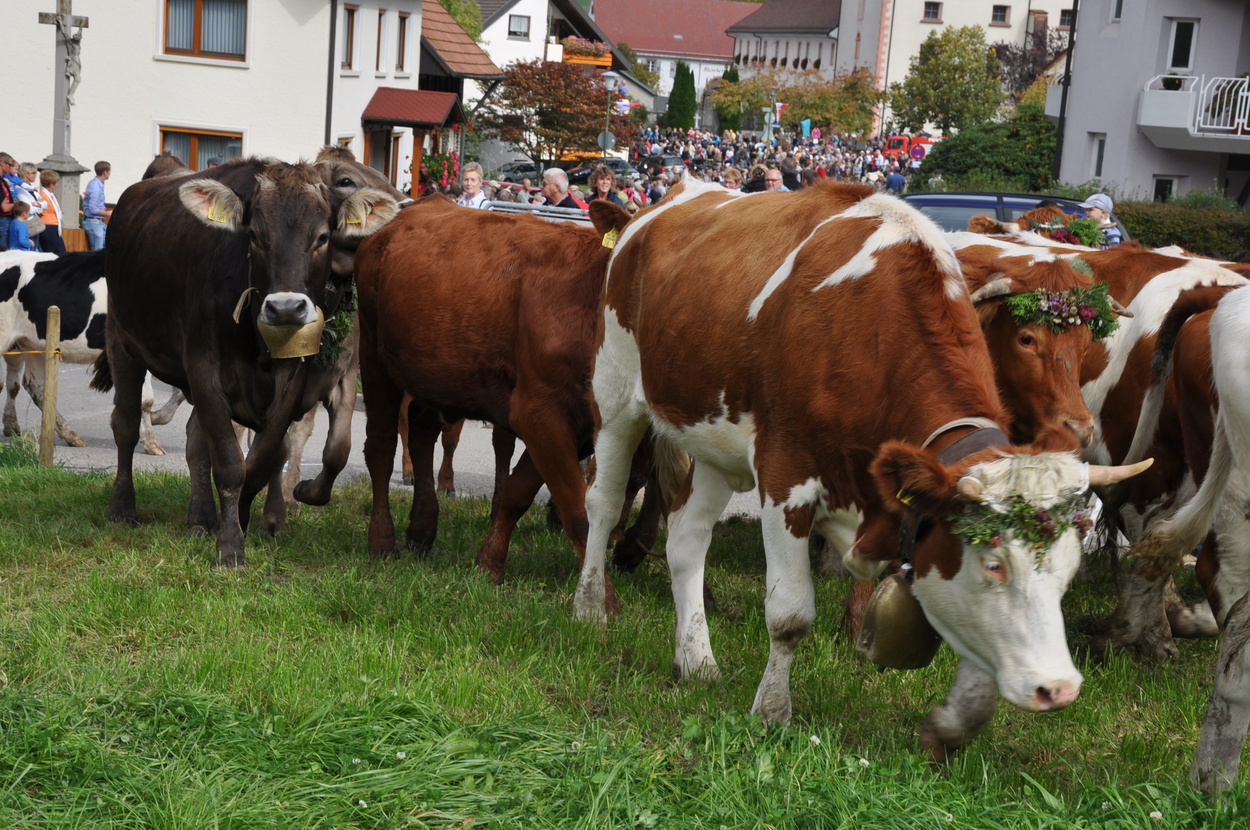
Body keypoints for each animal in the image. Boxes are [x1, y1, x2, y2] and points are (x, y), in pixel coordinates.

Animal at [101, 155, 399, 566]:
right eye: (255, 236)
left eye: (322, 237)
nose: (286, 307)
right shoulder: (204, 371)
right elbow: (230, 463)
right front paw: (230, 547)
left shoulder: (296, 382)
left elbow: (264, 461)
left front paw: (242, 520)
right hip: (122, 341)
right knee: (127, 424)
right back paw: (122, 508)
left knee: (196, 439)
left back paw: (201, 518)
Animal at [356, 195, 637, 610]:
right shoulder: (540, 411)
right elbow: (578, 509)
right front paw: (600, 602)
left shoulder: (573, 424)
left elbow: (518, 494)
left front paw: (488, 565)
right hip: (374, 355)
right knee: (380, 444)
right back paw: (382, 541)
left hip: (438, 375)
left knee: (422, 433)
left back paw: (422, 530)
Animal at [573, 179, 1147, 760]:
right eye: (993, 565)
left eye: (1069, 571)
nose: (1059, 688)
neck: (867, 330)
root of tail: (672, 195)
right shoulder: (785, 476)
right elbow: (789, 614)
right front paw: (772, 712)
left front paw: (954, 722)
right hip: (615, 394)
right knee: (604, 501)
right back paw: (592, 607)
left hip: (716, 438)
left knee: (687, 538)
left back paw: (696, 659)